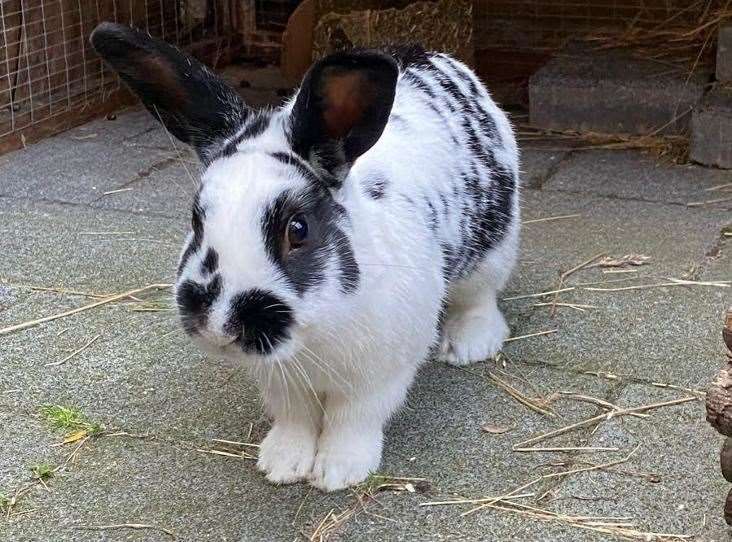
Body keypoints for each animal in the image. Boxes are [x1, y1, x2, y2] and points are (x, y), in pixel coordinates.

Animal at [91, 23, 520, 496]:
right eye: (196, 218)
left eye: (297, 230)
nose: (219, 325)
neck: (316, 330)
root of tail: (429, 54)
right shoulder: (280, 378)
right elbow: (295, 416)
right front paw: (282, 464)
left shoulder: (380, 370)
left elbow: (354, 418)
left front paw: (338, 471)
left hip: (492, 248)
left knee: (479, 297)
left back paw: (468, 344)